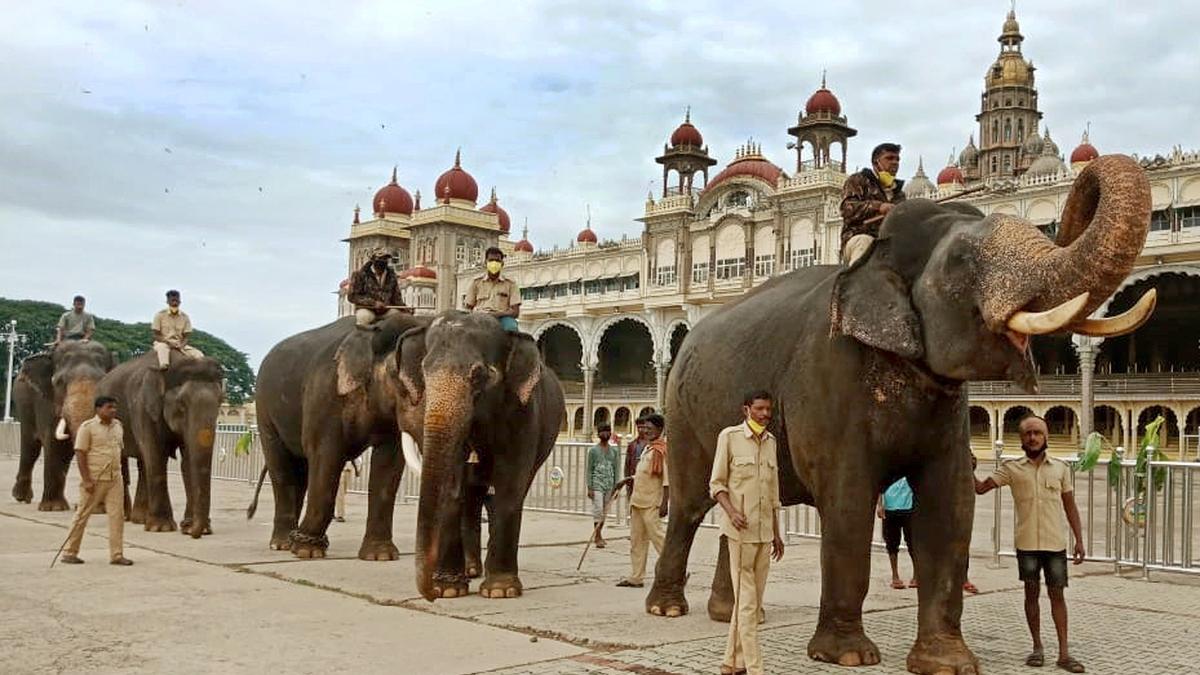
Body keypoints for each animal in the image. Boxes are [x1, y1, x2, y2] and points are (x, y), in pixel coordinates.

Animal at [11, 338, 114, 506]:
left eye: (103, 381)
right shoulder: (47, 402)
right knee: (30, 447)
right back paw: (21, 497)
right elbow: (54, 443)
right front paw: (53, 507)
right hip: (23, 402)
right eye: (59, 382)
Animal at [97, 348, 224, 533]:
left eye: (220, 402)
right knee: (122, 462)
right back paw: (125, 516)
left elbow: (187, 461)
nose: (193, 531)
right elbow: (156, 455)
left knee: (143, 463)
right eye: (182, 404)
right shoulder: (143, 407)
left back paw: (140, 519)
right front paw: (161, 528)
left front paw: (189, 527)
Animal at [403, 309, 566, 598]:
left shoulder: (524, 411)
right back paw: (469, 571)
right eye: (423, 370)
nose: (429, 595)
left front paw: (501, 590)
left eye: (479, 375)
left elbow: (509, 486)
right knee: (471, 496)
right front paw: (448, 589)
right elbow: (452, 488)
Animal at [643, 153, 1156, 672]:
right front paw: (848, 655)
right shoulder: (829, 375)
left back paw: (733, 613)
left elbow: (950, 506)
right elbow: (848, 504)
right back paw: (667, 608)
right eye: (962, 261)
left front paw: (947, 662)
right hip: (684, 413)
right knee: (689, 504)